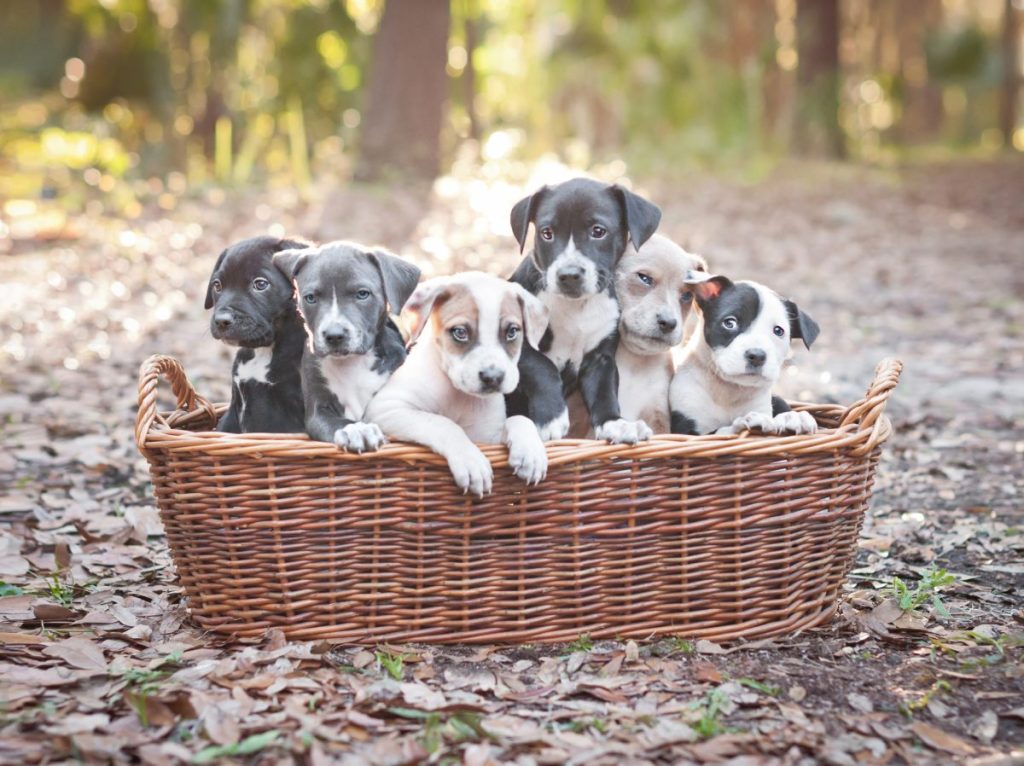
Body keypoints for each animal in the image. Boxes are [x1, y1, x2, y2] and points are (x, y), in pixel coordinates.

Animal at [272, 242, 419, 452]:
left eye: (362, 294)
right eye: (310, 298)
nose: (334, 336)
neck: (353, 362)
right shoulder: (318, 410)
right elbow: (338, 422)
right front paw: (358, 430)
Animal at [368, 270, 552, 497]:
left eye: (512, 332)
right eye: (460, 332)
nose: (493, 377)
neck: (457, 394)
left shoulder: (486, 437)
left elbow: (519, 419)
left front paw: (531, 453)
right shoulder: (387, 408)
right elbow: (443, 423)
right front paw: (471, 462)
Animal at [505, 177, 663, 442]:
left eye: (598, 231)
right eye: (546, 233)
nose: (569, 275)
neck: (577, 307)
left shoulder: (601, 359)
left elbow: (605, 393)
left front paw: (616, 424)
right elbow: (542, 366)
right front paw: (552, 418)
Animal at [667, 270, 819, 436]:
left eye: (778, 331)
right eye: (729, 323)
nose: (757, 356)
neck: (729, 390)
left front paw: (793, 417)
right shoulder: (685, 429)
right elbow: (716, 432)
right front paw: (740, 423)